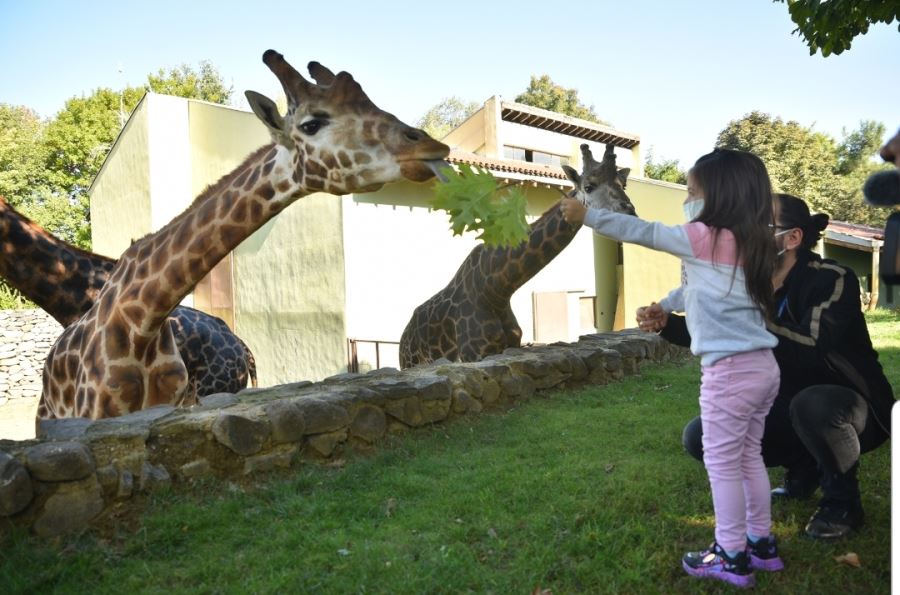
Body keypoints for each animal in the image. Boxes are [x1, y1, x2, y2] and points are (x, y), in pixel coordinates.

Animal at [400, 144, 632, 368]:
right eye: (589, 186)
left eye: (623, 184)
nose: (630, 212)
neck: (496, 290)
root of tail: (404, 337)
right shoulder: (473, 353)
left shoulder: (510, 344)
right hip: (410, 362)